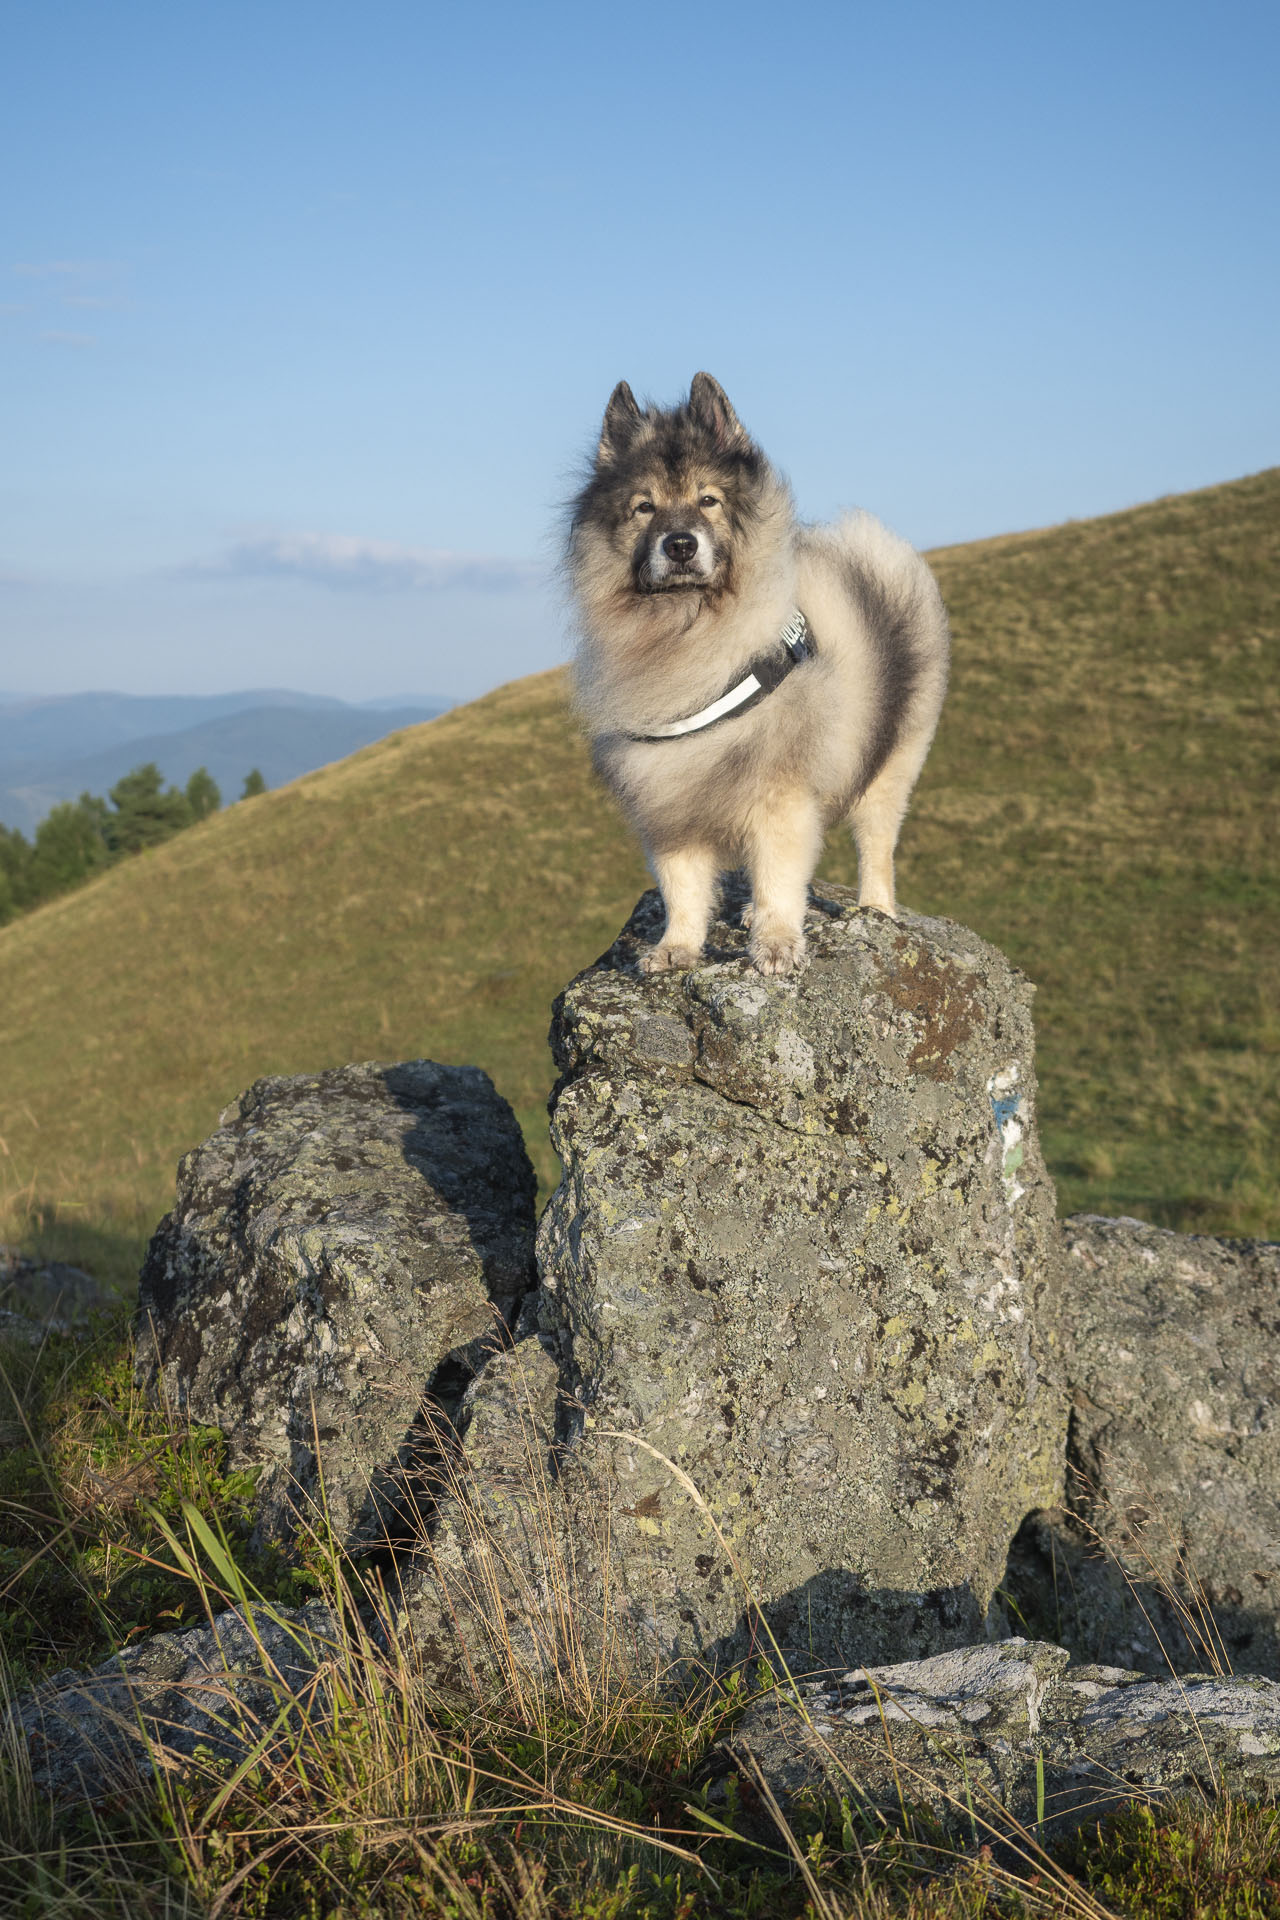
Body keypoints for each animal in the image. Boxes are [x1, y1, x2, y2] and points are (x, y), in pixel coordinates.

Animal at [564, 372, 948, 975]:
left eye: (709, 500)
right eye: (645, 507)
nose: (680, 544)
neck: (687, 636)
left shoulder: (779, 794)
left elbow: (777, 876)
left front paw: (777, 941)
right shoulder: (669, 800)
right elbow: (683, 887)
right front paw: (677, 946)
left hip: (894, 765)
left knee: (877, 843)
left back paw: (876, 910)